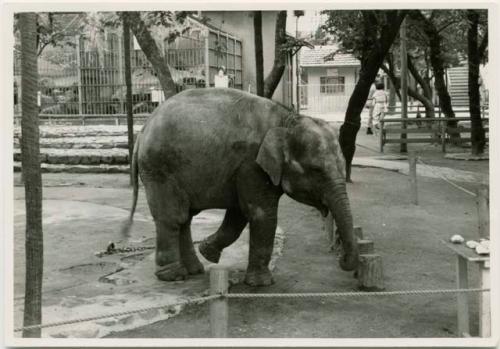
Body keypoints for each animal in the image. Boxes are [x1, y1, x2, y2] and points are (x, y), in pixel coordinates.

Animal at [123, 87, 360, 286]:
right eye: (316, 170)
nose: (342, 261)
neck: (287, 120)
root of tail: (142, 130)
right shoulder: (251, 165)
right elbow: (261, 214)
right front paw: (262, 284)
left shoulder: (241, 169)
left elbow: (238, 215)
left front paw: (208, 251)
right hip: (160, 170)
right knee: (172, 217)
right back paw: (173, 276)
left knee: (185, 218)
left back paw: (195, 269)